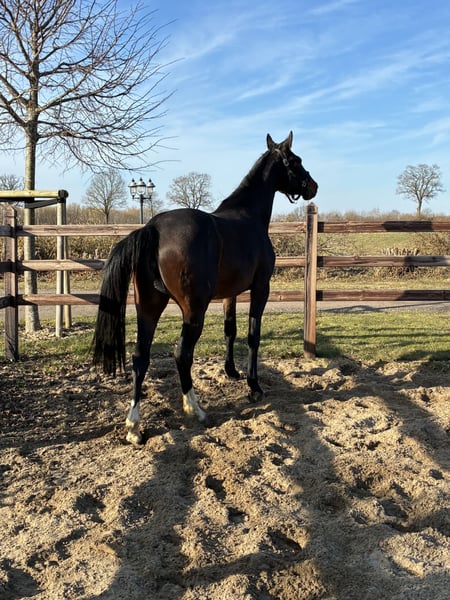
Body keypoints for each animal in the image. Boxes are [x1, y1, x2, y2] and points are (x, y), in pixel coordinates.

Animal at [93, 132, 318, 443]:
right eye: (296, 160)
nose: (313, 186)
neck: (248, 216)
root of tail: (153, 228)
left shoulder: (230, 294)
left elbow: (230, 330)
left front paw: (231, 371)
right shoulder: (261, 287)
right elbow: (253, 335)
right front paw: (254, 387)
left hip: (148, 307)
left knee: (140, 358)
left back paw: (134, 426)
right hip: (193, 311)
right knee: (181, 354)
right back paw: (195, 409)